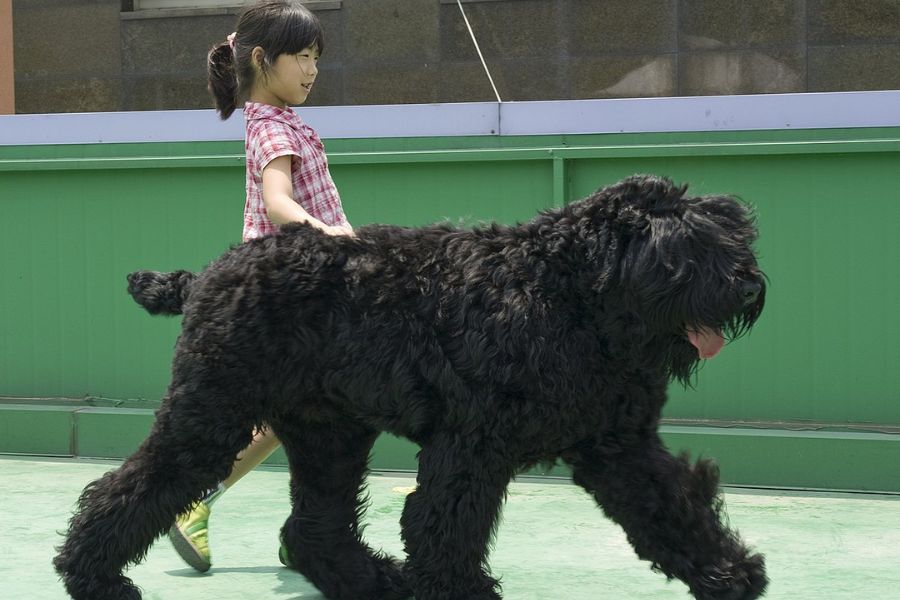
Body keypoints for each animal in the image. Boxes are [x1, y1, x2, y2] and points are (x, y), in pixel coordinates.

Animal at [54, 175, 768, 600]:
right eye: (684, 246)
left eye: (734, 231)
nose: (748, 285)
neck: (565, 292)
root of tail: (206, 273)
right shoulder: (471, 444)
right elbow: (443, 525)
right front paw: (461, 592)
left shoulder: (619, 444)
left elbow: (671, 504)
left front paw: (728, 573)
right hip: (211, 418)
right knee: (133, 487)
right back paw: (91, 577)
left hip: (329, 436)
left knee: (315, 527)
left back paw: (373, 580)